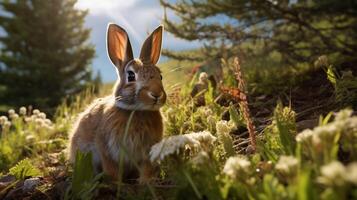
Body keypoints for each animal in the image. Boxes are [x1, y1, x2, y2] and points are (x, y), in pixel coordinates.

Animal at [68, 23, 165, 183]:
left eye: (160, 76)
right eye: (131, 76)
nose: (157, 94)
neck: (136, 111)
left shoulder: (147, 152)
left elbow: (146, 168)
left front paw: (146, 181)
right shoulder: (106, 149)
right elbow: (111, 167)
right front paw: (115, 182)